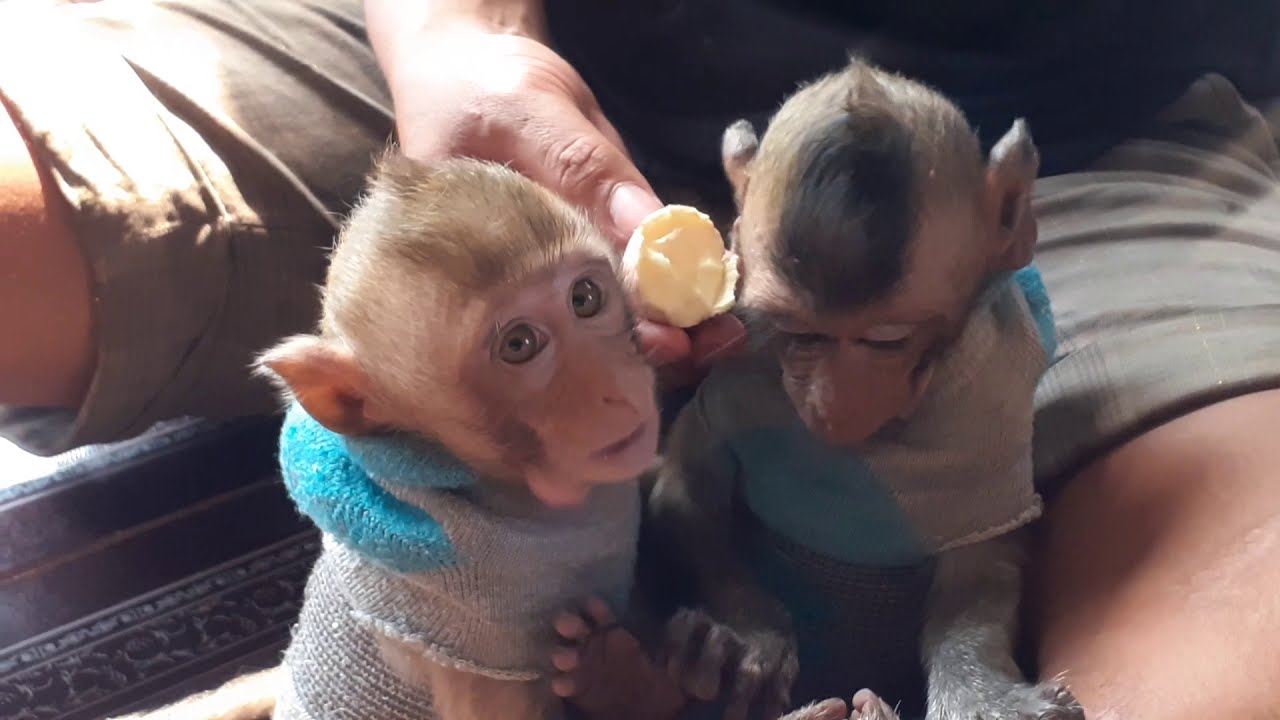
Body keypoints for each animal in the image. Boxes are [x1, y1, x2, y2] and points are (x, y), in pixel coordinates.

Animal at [109, 153, 664, 720]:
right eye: (518, 344)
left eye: (585, 298)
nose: (616, 389)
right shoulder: (476, 653)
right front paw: (612, 675)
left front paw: (613, 670)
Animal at [640, 57, 1086, 720]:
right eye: (799, 332)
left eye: (886, 340)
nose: (831, 405)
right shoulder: (739, 379)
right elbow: (686, 488)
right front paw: (747, 631)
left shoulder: (986, 414)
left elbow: (980, 565)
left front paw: (980, 693)